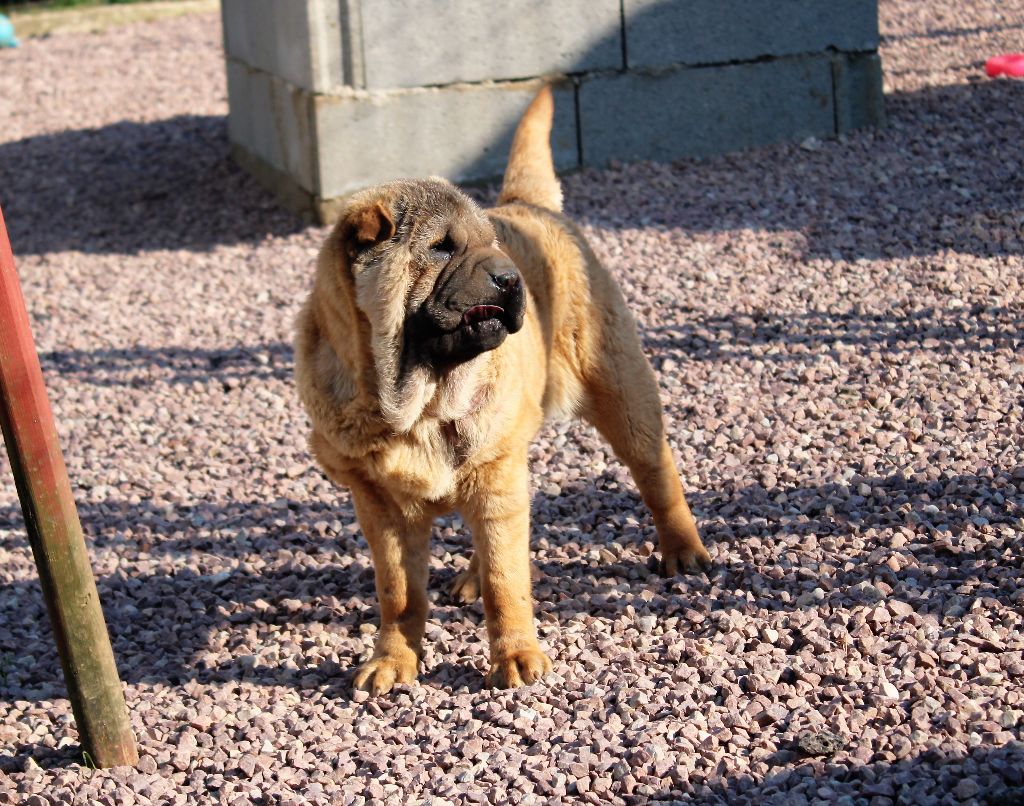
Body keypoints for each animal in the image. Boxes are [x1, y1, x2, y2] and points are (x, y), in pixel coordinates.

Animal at [294, 86, 712, 692]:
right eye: (442, 248)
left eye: (491, 246)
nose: (511, 278)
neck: (418, 403)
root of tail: (529, 205)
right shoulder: (381, 505)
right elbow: (399, 593)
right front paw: (392, 662)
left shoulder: (496, 475)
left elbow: (506, 580)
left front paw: (515, 658)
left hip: (622, 392)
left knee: (656, 472)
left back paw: (684, 551)